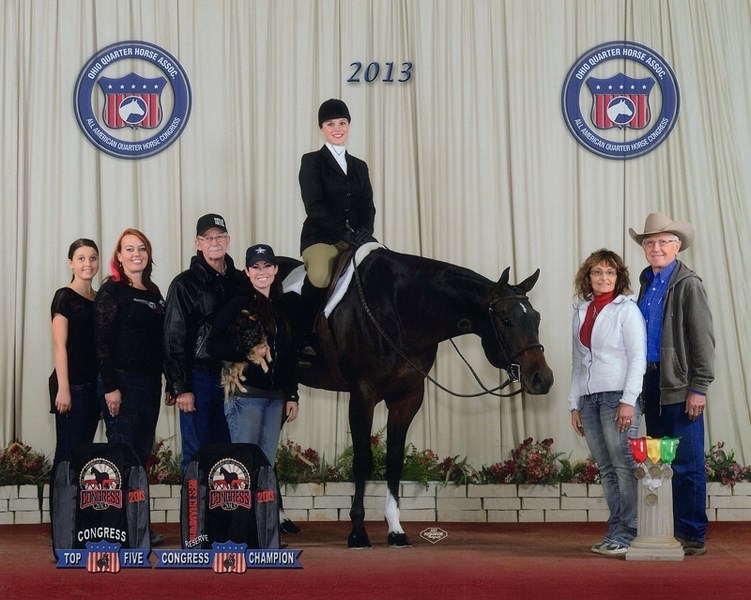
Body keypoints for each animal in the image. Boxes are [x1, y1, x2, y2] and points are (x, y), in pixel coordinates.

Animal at [280, 246, 556, 548]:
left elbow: (394, 460)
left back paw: (283, 521)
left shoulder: (408, 398)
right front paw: (358, 532)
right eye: (506, 320)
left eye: (537, 318)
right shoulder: (363, 395)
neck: (399, 309)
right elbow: (363, 460)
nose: (542, 378)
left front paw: (395, 530)